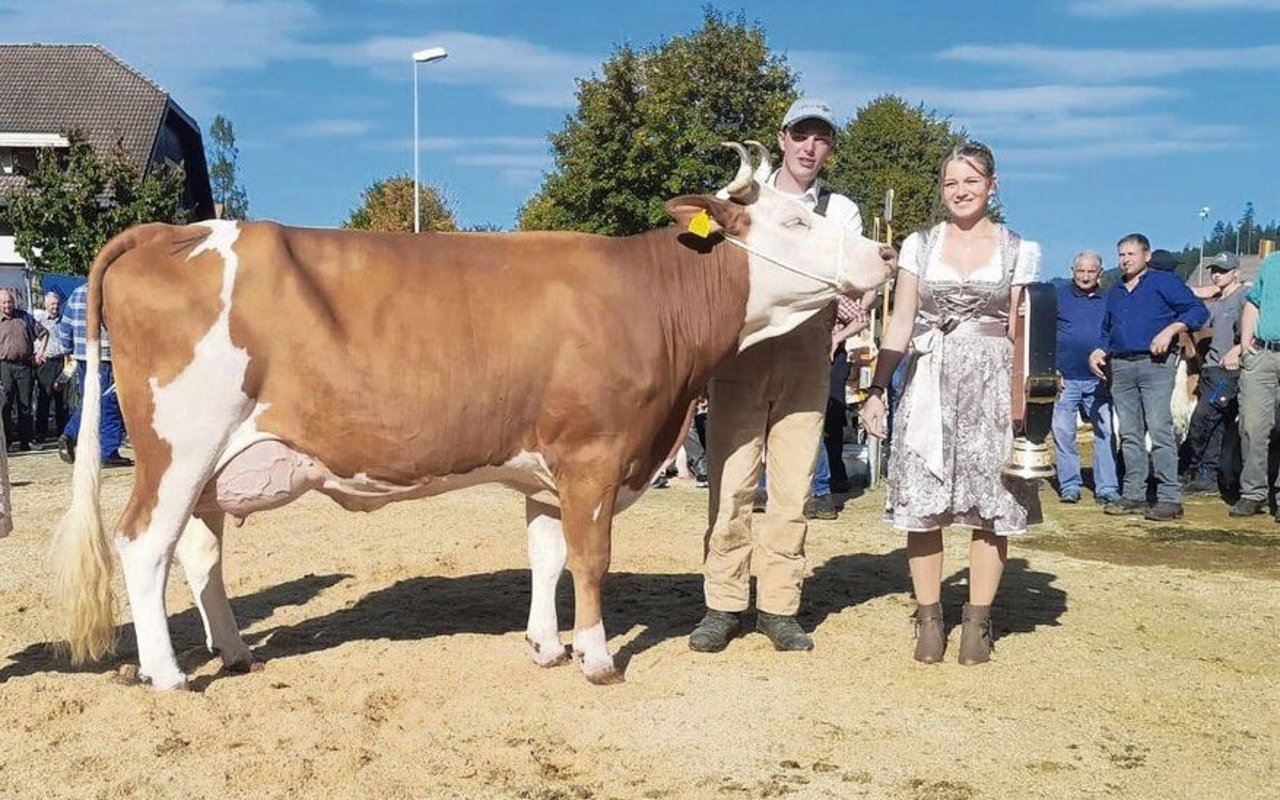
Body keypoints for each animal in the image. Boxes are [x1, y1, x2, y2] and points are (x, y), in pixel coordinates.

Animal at [49, 142, 890, 686]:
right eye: (795, 224)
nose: (883, 253)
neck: (653, 297)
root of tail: (175, 229)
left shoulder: (547, 471)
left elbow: (547, 556)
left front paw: (545, 646)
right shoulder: (594, 456)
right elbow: (590, 560)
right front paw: (595, 657)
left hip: (215, 466)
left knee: (199, 552)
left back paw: (233, 651)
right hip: (177, 448)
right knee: (144, 546)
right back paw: (167, 673)